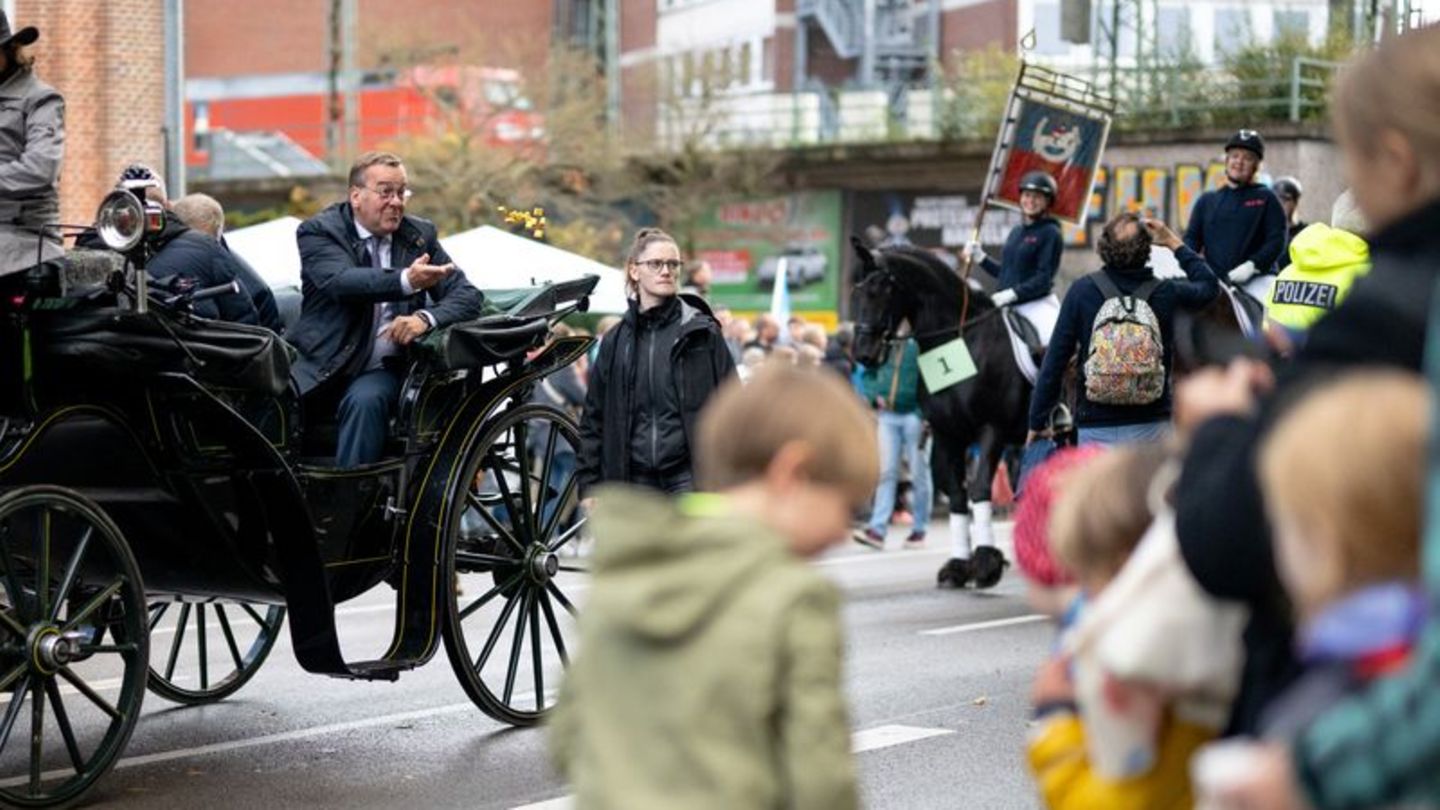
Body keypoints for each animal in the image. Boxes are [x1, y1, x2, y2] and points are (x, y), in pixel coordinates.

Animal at [852, 239, 1025, 585]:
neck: (961, 338)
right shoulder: (948, 433)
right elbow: (957, 493)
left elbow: (980, 487)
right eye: (859, 290)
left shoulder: (992, 428)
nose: (864, 354)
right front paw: (959, 564)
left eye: (882, 289)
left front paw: (986, 562)